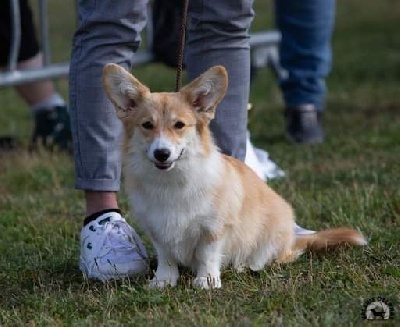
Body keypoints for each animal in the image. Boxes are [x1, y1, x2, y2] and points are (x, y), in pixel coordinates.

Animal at [101, 63, 368, 290]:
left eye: (179, 125)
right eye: (147, 125)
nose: (162, 153)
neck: (171, 181)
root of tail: (294, 238)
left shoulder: (214, 226)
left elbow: (207, 254)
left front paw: (207, 281)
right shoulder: (157, 228)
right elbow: (166, 257)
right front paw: (163, 281)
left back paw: (246, 265)